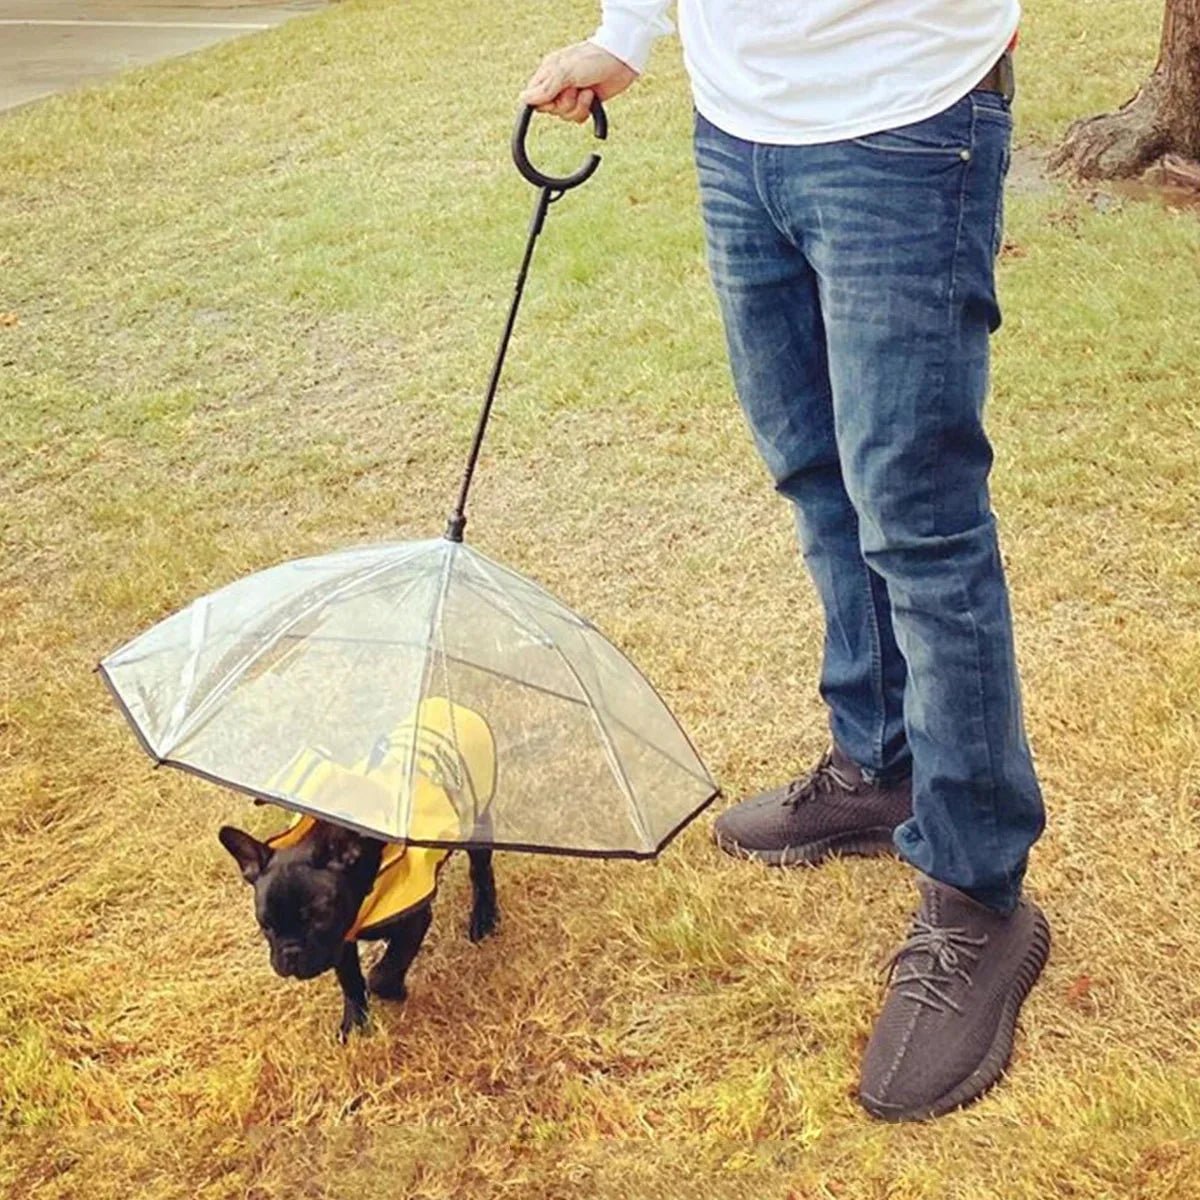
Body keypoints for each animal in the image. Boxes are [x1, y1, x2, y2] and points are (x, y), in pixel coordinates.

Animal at [219, 820, 496, 1036]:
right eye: (266, 925)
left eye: (319, 916)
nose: (290, 952)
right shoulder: (342, 941)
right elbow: (350, 980)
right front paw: (355, 1024)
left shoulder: (413, 921)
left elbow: (382, 974)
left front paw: (395, 991)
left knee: (480, 870)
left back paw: (485, 917)